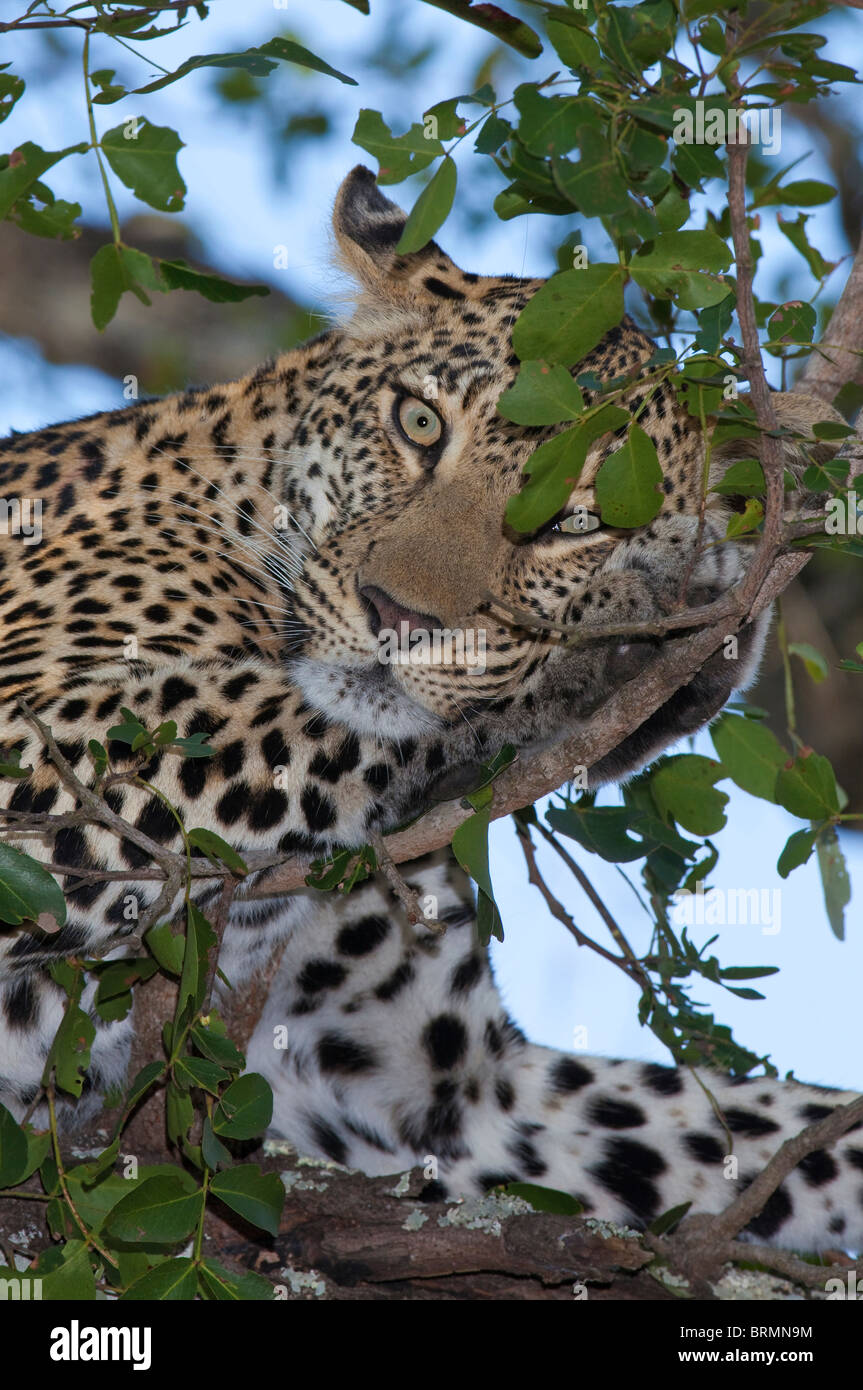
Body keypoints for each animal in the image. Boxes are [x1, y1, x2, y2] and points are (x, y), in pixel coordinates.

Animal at [0, 165, 860, 1256]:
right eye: (416, 424)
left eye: (576, 519)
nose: (398, 615)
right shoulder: (43, 751)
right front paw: (630, 634)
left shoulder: (455, 1091)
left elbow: (762, 1120)